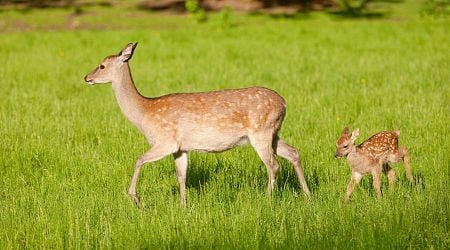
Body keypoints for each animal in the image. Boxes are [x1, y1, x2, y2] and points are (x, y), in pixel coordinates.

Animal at [83, 43, 310, 207]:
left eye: (102, 65)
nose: (87, 77)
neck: (144, 112)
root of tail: (284, 103)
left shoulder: (166, 140)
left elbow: (139, 159)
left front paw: (135, 199)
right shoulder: (180, 148)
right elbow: (181, 176)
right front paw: (183, 207)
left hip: (260, 130)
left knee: (273, 165)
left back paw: (267, 199)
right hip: (273, 131)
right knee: (293, 152)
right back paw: (307, 195)